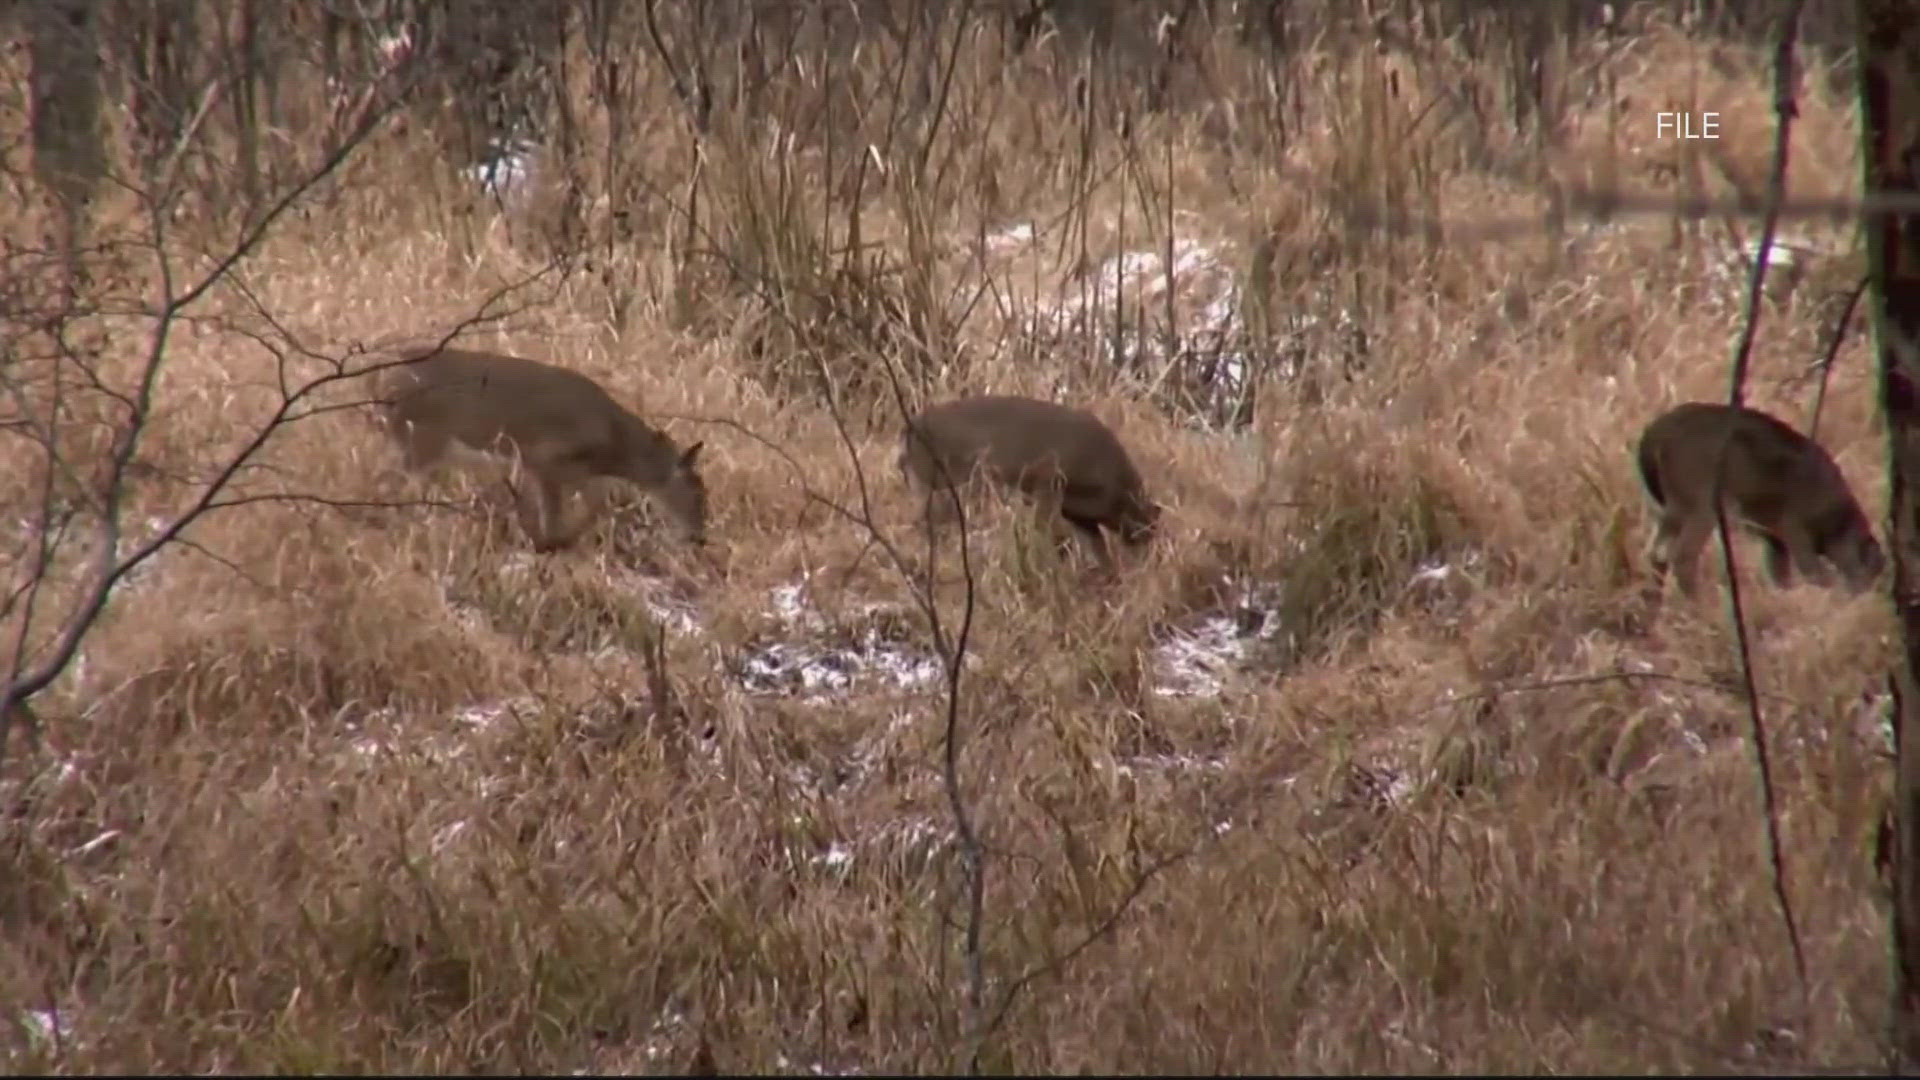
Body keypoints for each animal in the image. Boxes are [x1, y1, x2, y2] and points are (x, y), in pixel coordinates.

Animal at [370, 340, 710, 549]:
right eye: (698, 494)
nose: (699, 537)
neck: (615, 445)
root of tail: (381, 379)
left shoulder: (579, 475)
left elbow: (595, 506)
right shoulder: (544, 459)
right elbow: (555, 512)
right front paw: (550, 543)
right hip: (423, 438)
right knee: (393, 486)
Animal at [894, 390, 1152, 568]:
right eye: (1148, 524)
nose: (1149, 548)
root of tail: (907, 430)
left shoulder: (1079, 515)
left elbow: (1096, 549)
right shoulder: (1048, 480)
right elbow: (1049, 532)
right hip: (937, 481)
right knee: (925, 523)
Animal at [1628, 397, 1881, 591]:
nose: (1865, 591)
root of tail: (1653, 436)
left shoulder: (1774, 538)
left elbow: (1779, 575)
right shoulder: (1793, 524)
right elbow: (1811, 570)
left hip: (1673, 503)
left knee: (1656, 553)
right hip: (1701, 501)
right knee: (1682, 556)